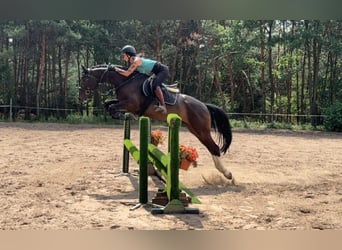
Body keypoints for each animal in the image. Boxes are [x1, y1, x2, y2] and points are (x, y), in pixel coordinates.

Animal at [78, 64, 232, 182]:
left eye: (84, 79)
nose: (81, 98)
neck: (125, 81)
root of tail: (204, 105)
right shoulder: (123, 102)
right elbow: (108, 104)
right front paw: (120, 115)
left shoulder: (131, 104)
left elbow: (111, 106)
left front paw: (122, 115)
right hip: (195, 129)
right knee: (211, 147)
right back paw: (224, 173)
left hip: (201, 129)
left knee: (214, 148)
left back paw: (228, 174)